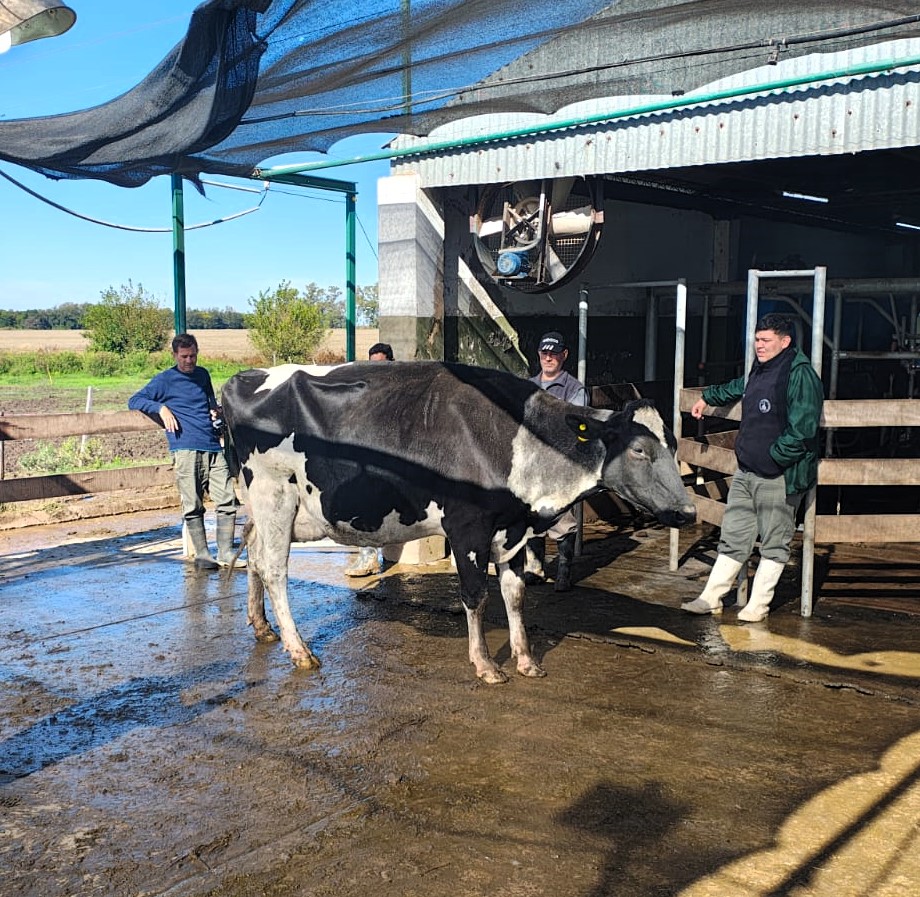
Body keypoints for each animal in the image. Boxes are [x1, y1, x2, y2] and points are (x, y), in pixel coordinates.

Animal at [221, 361, 696, 684]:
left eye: (673, 443)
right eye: (638, 449)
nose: (688, 512)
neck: (518, 438)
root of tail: (245, 376)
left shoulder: (512, 529)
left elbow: (515, 595)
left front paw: (526, 659)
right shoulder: (468, 527)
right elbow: (475, 595)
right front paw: (485, 664)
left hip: (276, 508)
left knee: (254, 554)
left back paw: (262, 628)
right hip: (274, 495)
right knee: (274, 569)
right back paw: (299, 650)